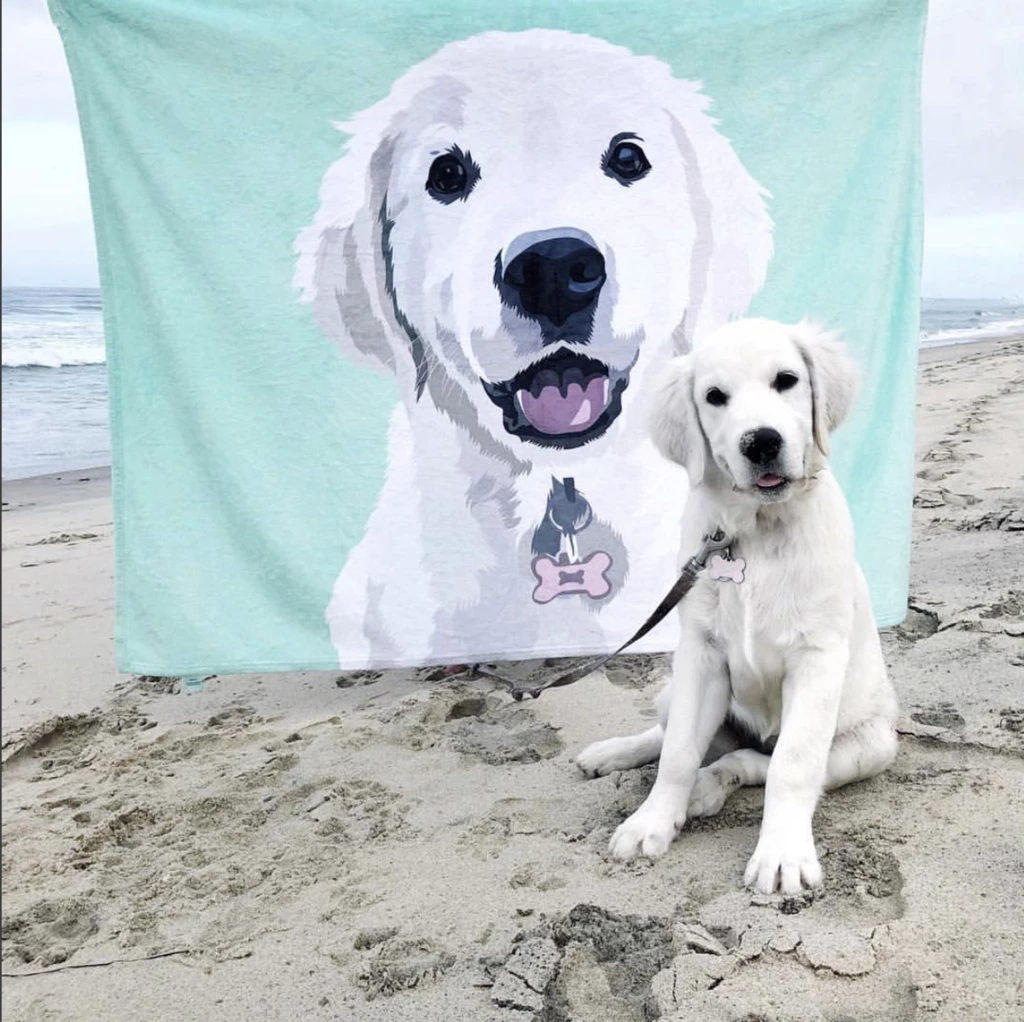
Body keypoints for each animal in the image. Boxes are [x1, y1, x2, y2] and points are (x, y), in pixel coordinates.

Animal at [581, 321, 901, 897]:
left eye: (787, 380)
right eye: (714, 396)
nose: (762, 442)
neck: (756, 531)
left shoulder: (817, 660)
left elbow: (792, 765)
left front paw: (782, 853)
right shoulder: (701, 655)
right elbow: (678, 752)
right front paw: (650, 822)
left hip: (870, 745)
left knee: (755, 760)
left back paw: (710, 787)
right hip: (675, 691)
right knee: (667, 736)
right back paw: (616, 755)